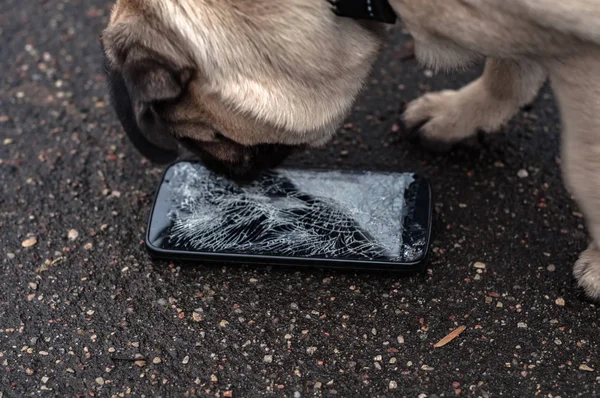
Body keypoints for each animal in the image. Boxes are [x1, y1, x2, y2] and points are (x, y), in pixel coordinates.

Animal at [101, 0, 600, 298]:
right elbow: (510, 68)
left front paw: (597, 264)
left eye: (205, 140)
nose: (218, 174)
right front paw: (464, 113)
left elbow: (585, 169)